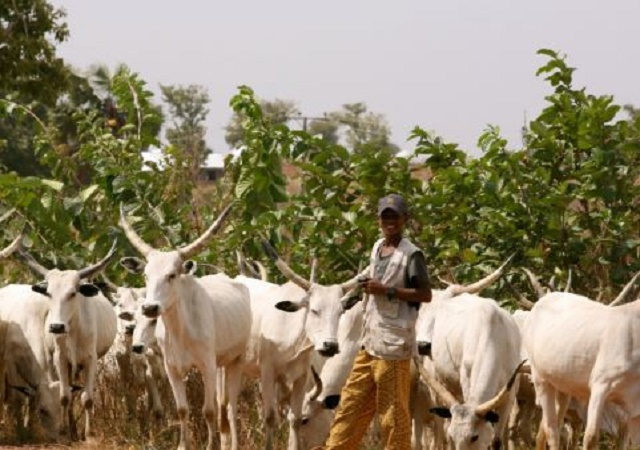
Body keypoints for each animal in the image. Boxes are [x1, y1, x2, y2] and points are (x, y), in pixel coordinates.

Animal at [16, 243, 118, 440]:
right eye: (48, 293)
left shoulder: (91, 359)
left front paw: (89, 434)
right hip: (54, 361)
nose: (56, 326)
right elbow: (64, 396)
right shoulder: (61, 358)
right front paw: (64, 430)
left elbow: (87, 398)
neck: (73, 330)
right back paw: (71, 429)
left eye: (72, 293)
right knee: (68, 392)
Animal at [119, 203, 251, 450]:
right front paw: (183, 445)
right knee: (223, 405)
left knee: (229, 407)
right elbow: (182, 409)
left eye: (172, 275)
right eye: (145, 275)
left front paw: (210, 446)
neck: (180, 330)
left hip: (235, 361)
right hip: (220, 364)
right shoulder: (172, 368)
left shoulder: (206, 366)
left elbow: (208, 411)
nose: (150, 307)